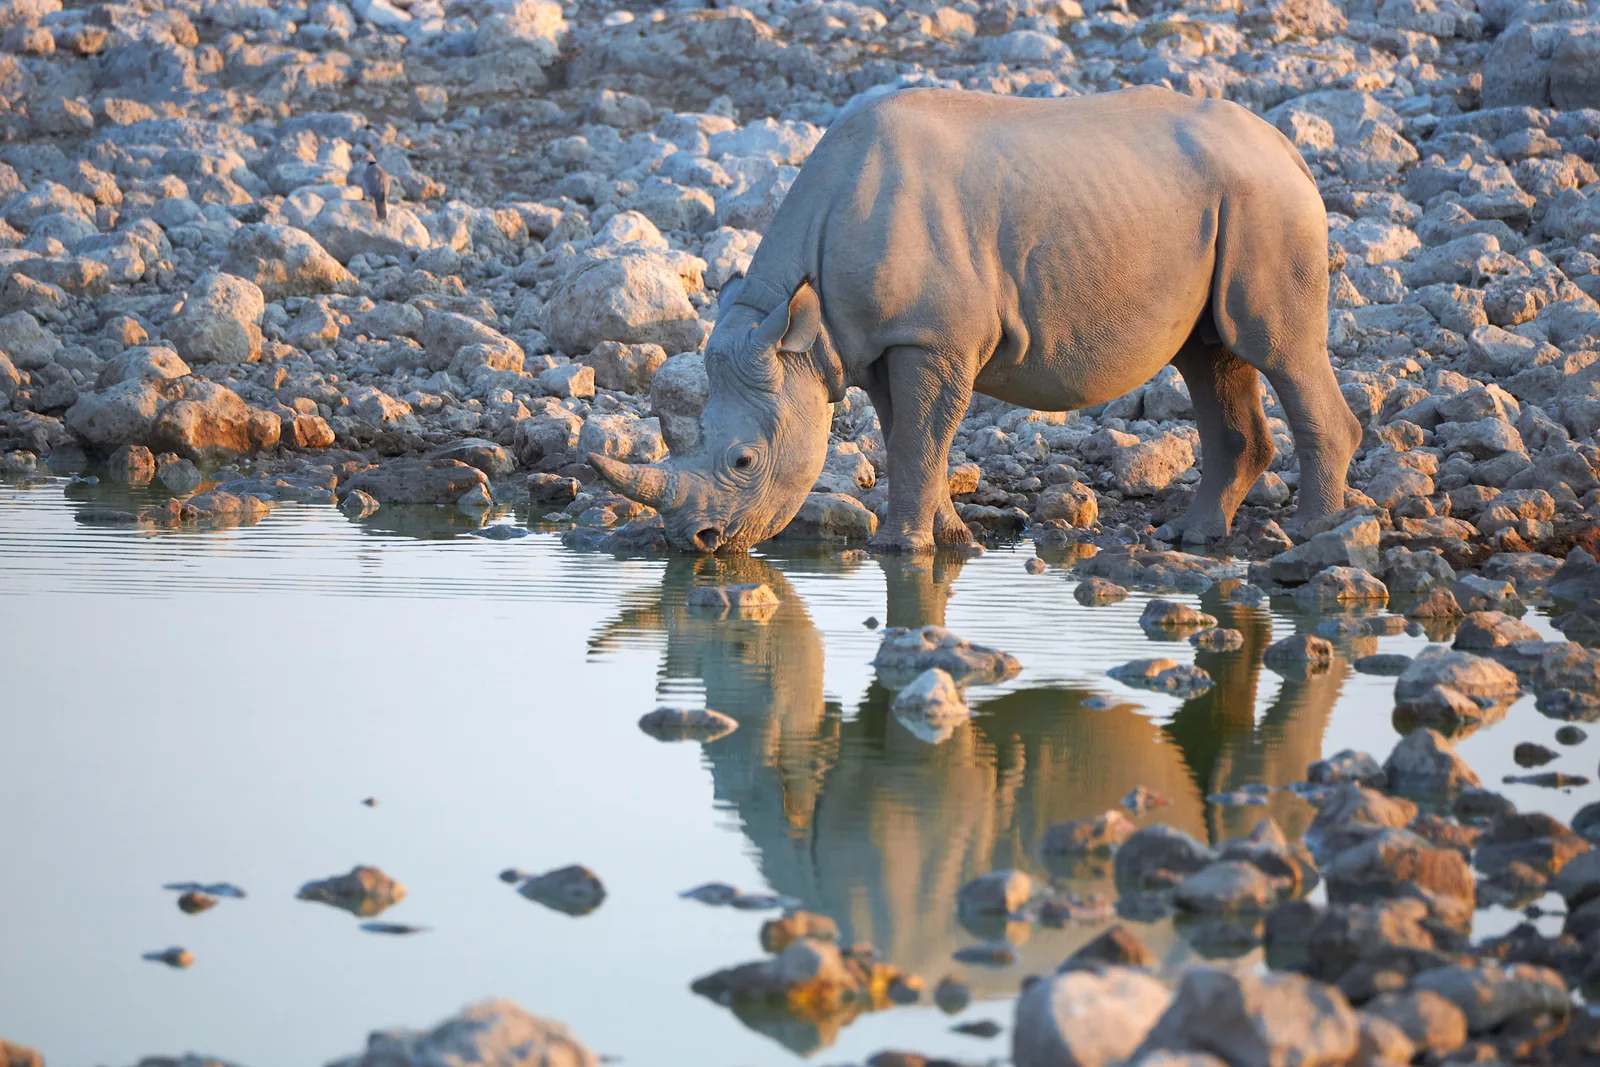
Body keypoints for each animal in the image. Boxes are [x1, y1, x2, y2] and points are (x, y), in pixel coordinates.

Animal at [591, 86, 1362, 553]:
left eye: (744, 461)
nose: (697, 542)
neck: (796, 326)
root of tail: (1287, 148)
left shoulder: (931, 338)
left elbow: (918, 439)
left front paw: (897, 549)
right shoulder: (880, 344)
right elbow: (912, 439)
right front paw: (952, 541)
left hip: (1266, 200)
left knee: (1276, 347)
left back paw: (1316, 533)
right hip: (1226, 201)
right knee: (1210, 354)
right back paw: (1195, 538)